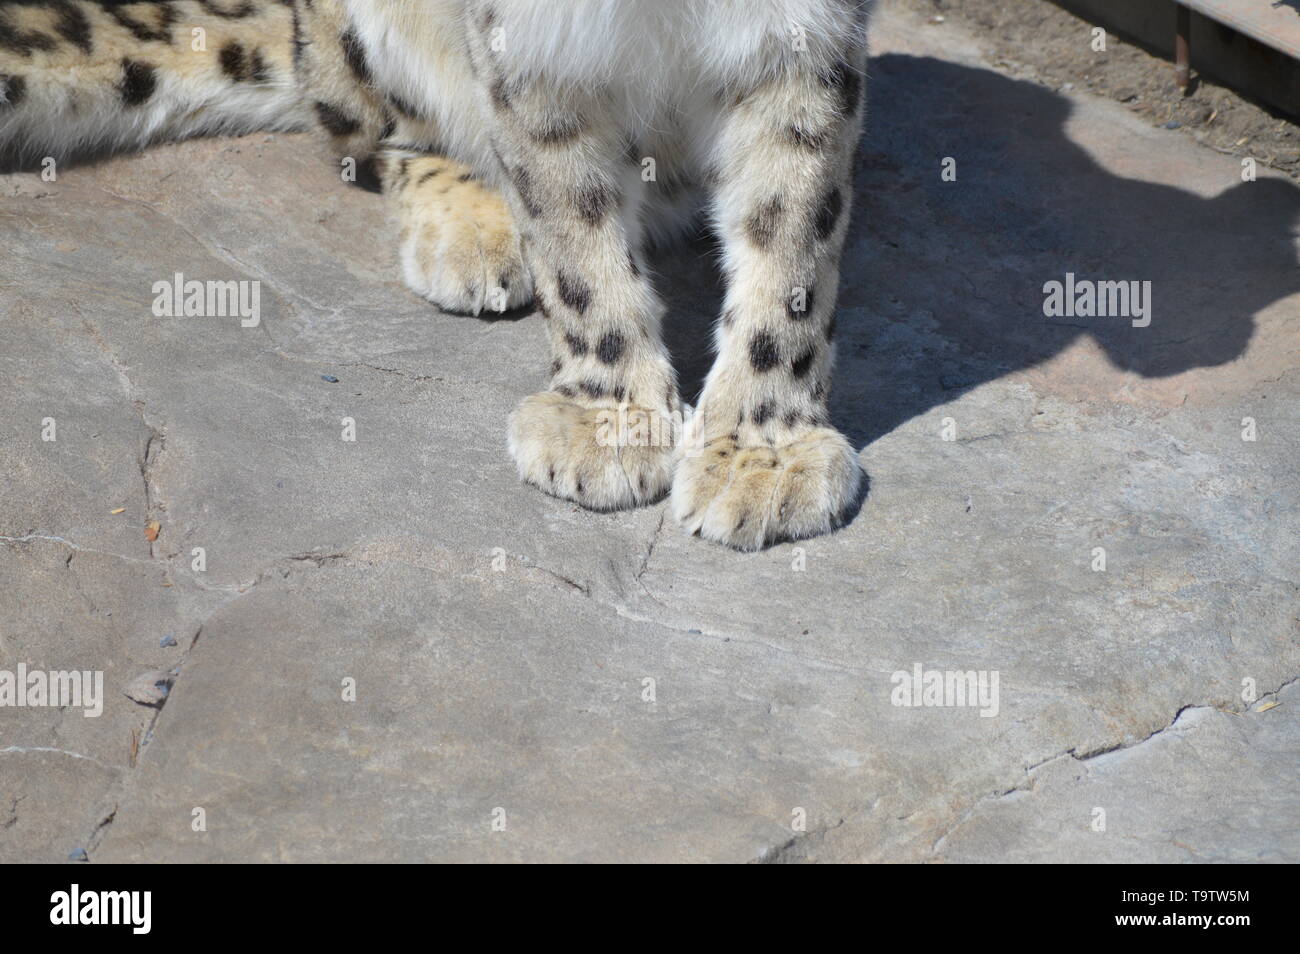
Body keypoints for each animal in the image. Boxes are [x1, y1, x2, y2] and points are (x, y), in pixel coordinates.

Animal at [5, 0, 873, 548]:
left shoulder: (805, 42)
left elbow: (793, 241)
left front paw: (765, 452)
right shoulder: (532, 44)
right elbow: (571, 226)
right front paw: (607, 417)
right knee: (382, 138)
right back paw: (473, 231)